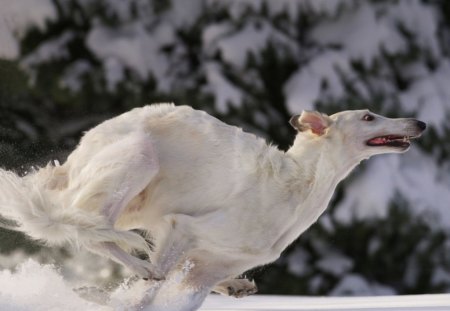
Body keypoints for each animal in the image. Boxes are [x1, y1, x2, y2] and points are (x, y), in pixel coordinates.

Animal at [0, 104, 426, 310]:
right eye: (368, 116)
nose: (420, 123)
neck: (298, 185)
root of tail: (79, 153)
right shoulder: (184, 228)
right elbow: (143, 297)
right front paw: (117, 294)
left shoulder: (207, 268)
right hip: (138, 160)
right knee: (88, 230)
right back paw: (139, 267)